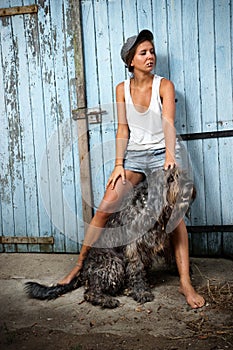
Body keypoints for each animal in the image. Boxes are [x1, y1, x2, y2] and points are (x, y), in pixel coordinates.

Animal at [25, 168, 195, 308]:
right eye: (171, 178)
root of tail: (83, 273)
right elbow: (137, 270)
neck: (148, 205)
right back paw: (107, 300)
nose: (189, 186)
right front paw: (141, 291)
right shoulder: (133, 248)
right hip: (113, 264)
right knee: (90, 293)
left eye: (182, 174)